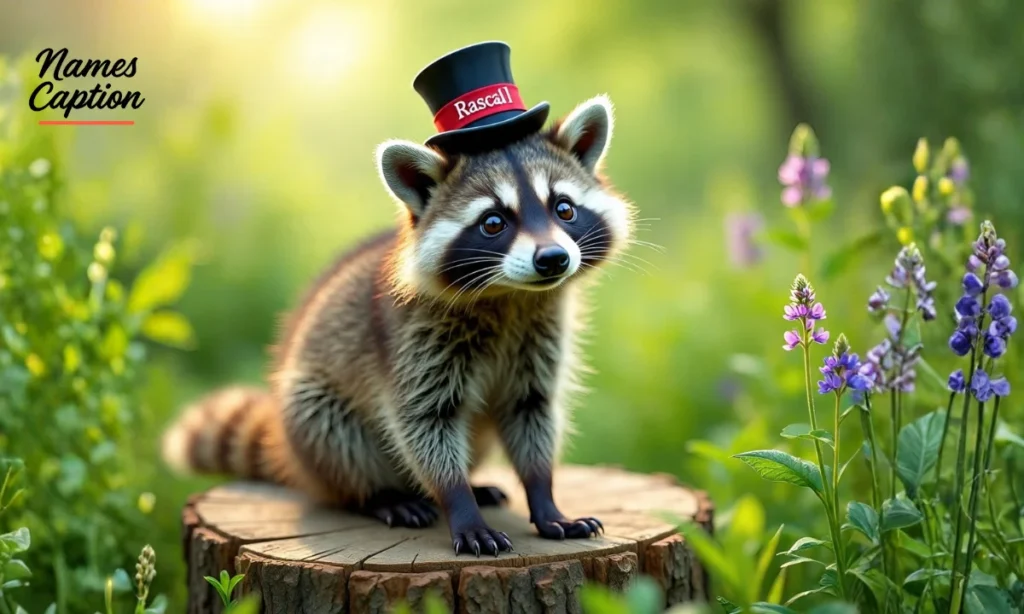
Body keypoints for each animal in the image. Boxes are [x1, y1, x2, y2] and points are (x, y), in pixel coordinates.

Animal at [162, 95, 635, 556]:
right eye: (493, 222)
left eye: (564, 208)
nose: (553, 259)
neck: (510, 297)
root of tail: (291, 459)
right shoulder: (414, 342)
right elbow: (423, 423)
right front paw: (458, 501)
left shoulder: (538, 337)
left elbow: (531, 410)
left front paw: (544, 497)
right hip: (310, 414)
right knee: (330, 428)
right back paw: (380, 495)